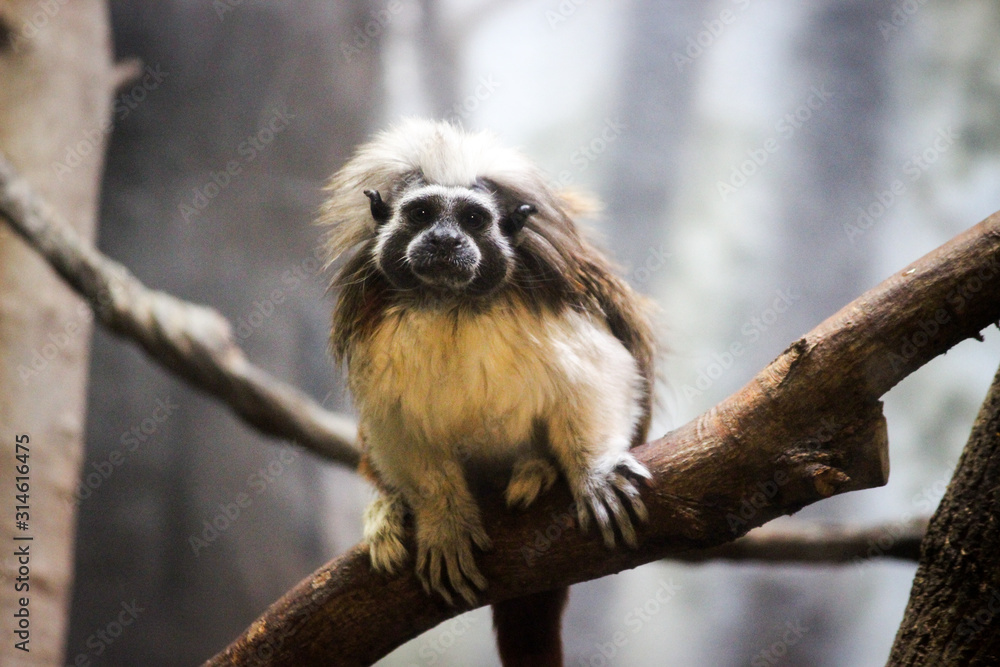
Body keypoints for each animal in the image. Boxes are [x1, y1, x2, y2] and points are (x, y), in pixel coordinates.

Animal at [321, 119, 656, 666]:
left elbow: (599, 374)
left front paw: (595, 471)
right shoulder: (376, 329)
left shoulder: (553, 296)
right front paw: (442, 519)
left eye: (474, 219)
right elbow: (396, 422)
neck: (450, 303)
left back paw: (536, 472)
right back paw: (389, 512)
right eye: (421, 214)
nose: (444, 238)